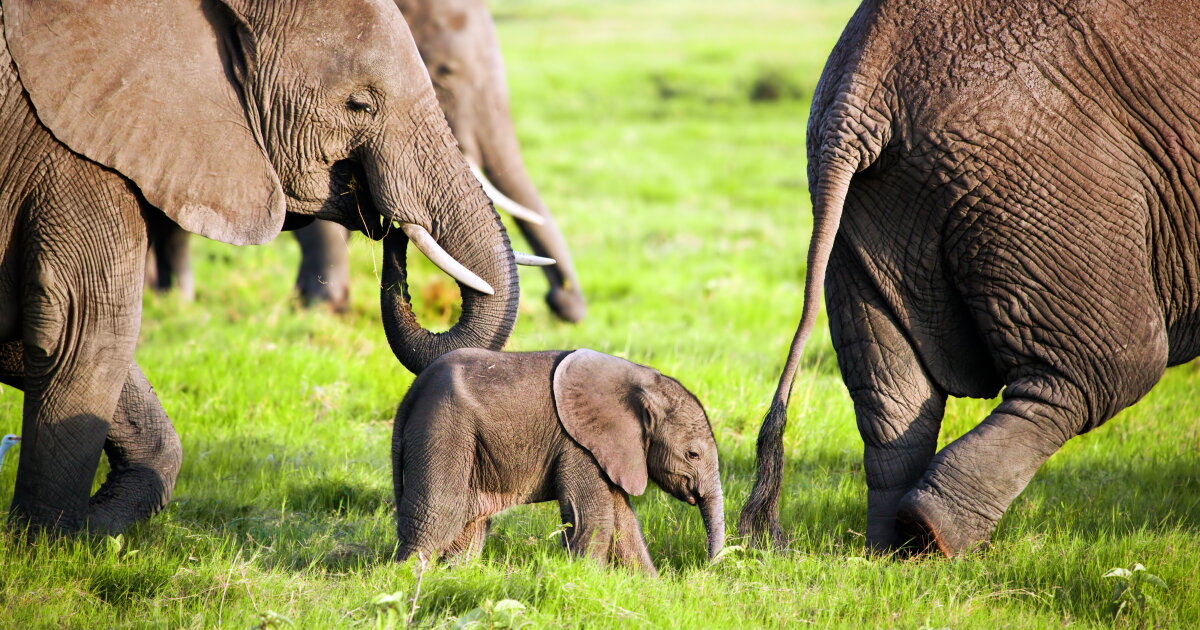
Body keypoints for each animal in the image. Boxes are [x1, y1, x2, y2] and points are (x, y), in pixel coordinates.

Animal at [0, 0, 530, 532]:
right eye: (359, 105)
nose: (392, 226)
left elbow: (34, 337)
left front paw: (86, 528)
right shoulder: (70, 151)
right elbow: (87, 328)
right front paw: (52, 541)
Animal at [392, 348, 724, 575]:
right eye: (693, 455)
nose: (706, 568)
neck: (641, 380)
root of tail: (412, 393)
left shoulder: (610, 449)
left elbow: (623, 521)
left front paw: (649, 589)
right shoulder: (579, 444)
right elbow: (594, 517)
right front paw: (587, 581)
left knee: (469, 524)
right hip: (443, 428)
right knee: (438, 514)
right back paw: (407, 579)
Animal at [738, 0, 1200, 556]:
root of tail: (862, 85)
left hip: (867, 207)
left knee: (891, 392)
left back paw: (896, 548)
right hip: (1043, 177)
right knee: (1107, 367)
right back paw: (934, 532)